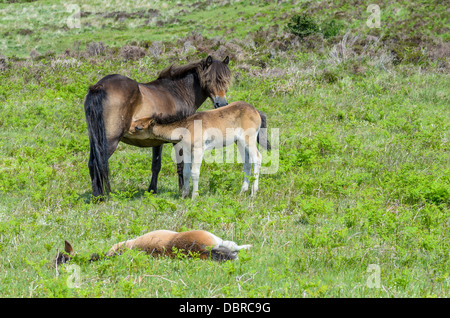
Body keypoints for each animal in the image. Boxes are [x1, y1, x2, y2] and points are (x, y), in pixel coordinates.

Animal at [128, 100, 268, 199]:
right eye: (135, 121)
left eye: (139, 127)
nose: (127, 129)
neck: (187, 127)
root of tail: (256, 111)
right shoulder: (187, 150)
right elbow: (186, 172)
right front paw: (184, 195)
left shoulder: (198, 149)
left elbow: (195, 172)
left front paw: (194, 196)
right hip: (239, 142)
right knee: (247, 163)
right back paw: (242, 191)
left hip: (248, 139)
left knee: (257, 158)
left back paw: (253, 193)